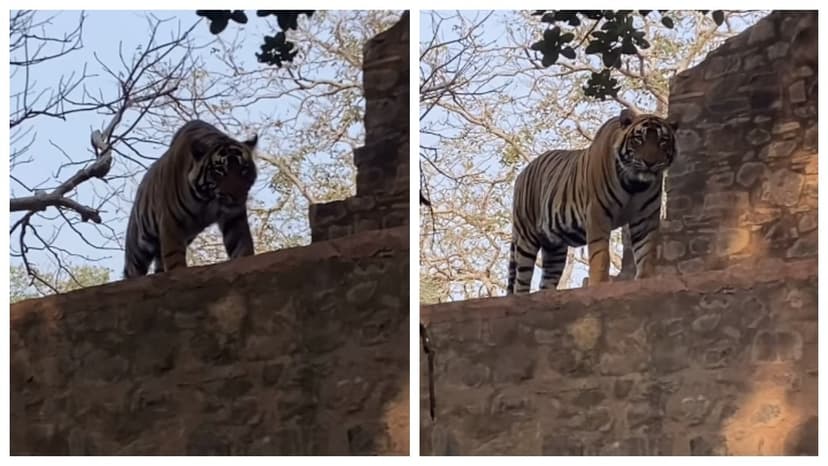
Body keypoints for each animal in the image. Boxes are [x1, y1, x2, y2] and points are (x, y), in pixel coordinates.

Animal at [123, 120, 258, 278]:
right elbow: (174, 257)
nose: (236, 196)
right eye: (219, 171)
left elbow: (242, 246)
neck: (208, 198)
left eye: (243, 169)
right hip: (139, 246)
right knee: (133, 270)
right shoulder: (171, 222)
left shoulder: (234, 218)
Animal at [507, 108, 678, 295]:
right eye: (639, 139)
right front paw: (599, 284)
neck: (634, 185)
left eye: (663, 141)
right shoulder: (598, 212)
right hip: (526, 237)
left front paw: (645, 281)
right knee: (520, 281)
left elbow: (645, 251)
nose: (650, 162)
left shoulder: (645, 217)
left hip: (554, 248)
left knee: (546, 281)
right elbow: (600, 254)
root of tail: (522, 173)